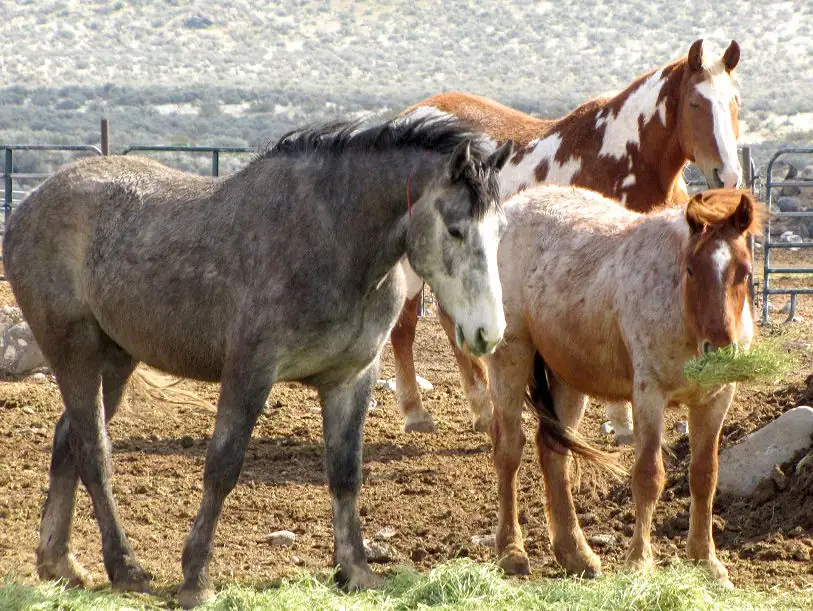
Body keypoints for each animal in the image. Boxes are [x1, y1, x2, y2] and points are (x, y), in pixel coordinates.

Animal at [3, 115, 512, 607]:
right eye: (455, 229)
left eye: (500, 231)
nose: (489, 333)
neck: (332, 241)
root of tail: (32, 203)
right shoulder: (250, 372)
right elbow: (222, 467)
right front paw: (196, 580)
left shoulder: (351, 379)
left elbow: (345, 471)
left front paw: (356, 571)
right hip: (75, 352)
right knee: (93, 451)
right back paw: (126, 569)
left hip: (116, 358)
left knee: (67, 440)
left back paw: (59, 563)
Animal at [390, 39, 742, 435]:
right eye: (696, 103)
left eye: (735, 101)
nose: (728, 176)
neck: (621, 157)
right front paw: (620, 420)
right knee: (403, 328)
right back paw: (416, 413)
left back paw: (481, 408)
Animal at [487, 186, 761, 586]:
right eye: (691, 270)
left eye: (745, 272)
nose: (720, 350)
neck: (682, 314)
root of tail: (516, 203)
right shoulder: (648, 395)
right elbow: (648, 476)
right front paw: (638, 562)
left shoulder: (715, 399)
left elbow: (704, 475)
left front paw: (706, 561)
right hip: (511, 355)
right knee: (509, 448)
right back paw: (511, 551)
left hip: (567, 377)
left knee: (553, 452)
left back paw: (576, 554)